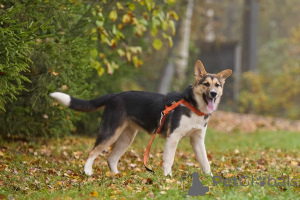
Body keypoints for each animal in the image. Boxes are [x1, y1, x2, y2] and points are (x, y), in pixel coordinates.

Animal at [50, 60, 232, 177]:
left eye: (217, 85)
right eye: (206, 84)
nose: (213, 94)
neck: (192, 106)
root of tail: (114, 95)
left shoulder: (197, 140)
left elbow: (205, 161)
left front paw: (210, 178)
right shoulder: (173, 138)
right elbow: (169, 160)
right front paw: (168, 178)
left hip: (127, 137)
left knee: (111, 158)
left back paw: (117, 176)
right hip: (111, 132)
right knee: (93, 151)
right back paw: (87, 172)